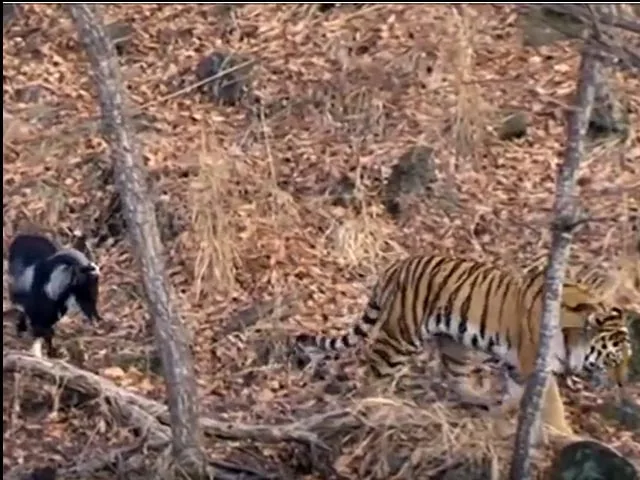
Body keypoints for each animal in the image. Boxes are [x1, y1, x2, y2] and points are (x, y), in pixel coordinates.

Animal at [294, 254, 633, 438]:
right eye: (614, 359)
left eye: (628, 360)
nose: (622, 383)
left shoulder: (518, 367)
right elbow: (552, 404)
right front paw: (566, 434)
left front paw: (498, 416)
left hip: (457, 345)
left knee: (455, 378)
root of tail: (395, 266)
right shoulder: (536, 367)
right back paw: (375, 406)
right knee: (373, 371)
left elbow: (514, 396)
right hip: (400, 336)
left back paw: (479, 398)